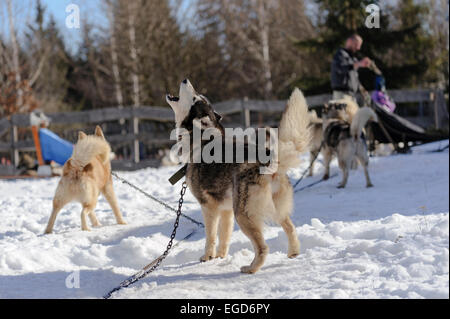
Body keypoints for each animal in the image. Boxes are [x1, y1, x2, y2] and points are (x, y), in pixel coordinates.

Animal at [167, 80, 312, 276]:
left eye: (196, 98)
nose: (185, 80)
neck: (201, 140)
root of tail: (268, 157)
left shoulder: (208, 207)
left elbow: (210, 236)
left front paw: (207, 257)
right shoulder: (226, 210)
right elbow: (224, 237)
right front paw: (220, 257)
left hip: (243, 213)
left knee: (263, 247)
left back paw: (251, 268)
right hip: (271, 208)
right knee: (290, 228)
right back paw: (293, 253)